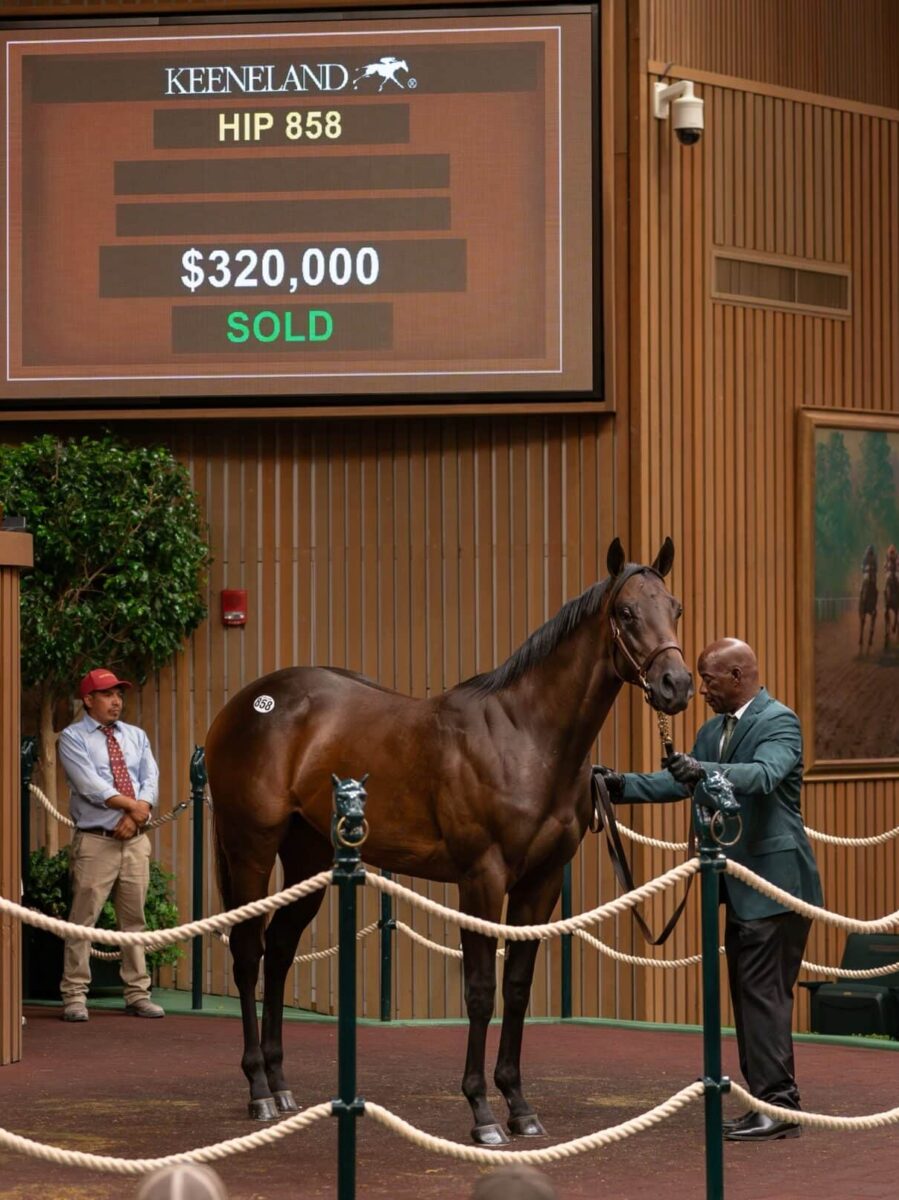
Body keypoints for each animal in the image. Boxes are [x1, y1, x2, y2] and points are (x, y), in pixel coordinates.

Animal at [206, 537, 691, 1142]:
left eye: (674, 607)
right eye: (626, 613)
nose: (677, 685)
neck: (527, 738)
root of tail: (243, 706)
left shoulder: (539, 883)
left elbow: (517, 986)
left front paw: (519, 1105)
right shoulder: (481, 878)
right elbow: (480, 990)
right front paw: (482, 1111)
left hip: (307, 858)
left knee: (278, 951)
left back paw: (279, 1083)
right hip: (250, 848)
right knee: (248, 952)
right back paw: (257, 1091)